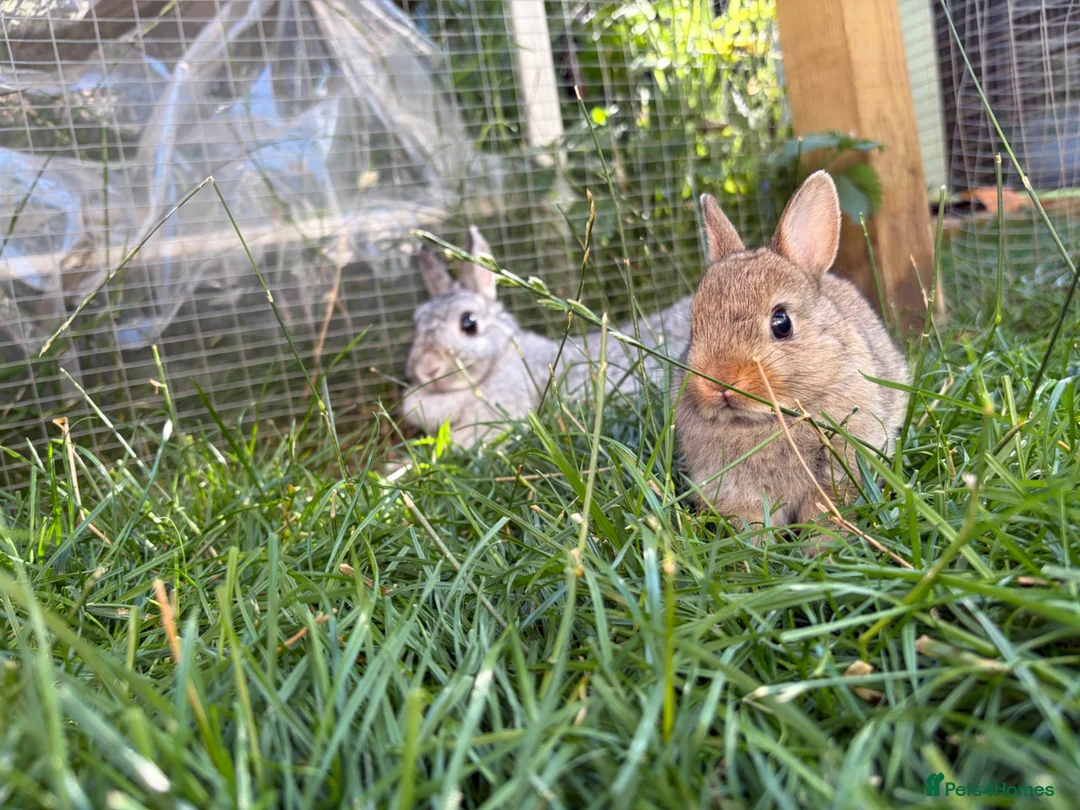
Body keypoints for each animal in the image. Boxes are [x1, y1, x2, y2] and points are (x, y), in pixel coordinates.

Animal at [671, 170, 910, 531]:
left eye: (782, 323)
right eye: (693, 328)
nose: (720, 382)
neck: (764, 421)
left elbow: (823, 511)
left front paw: (821, 543)